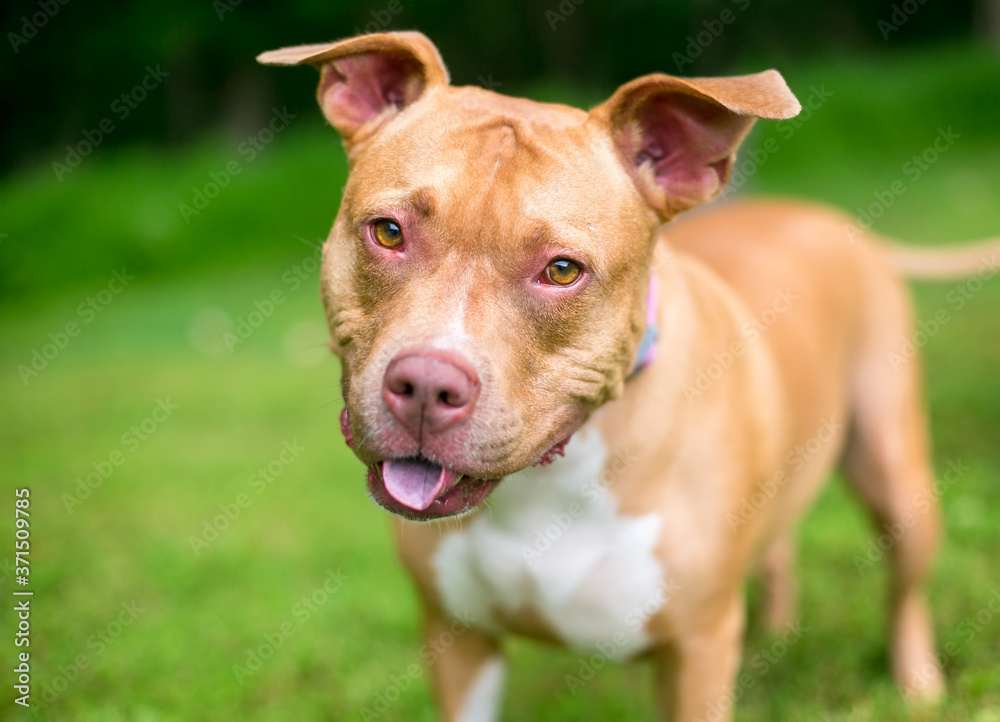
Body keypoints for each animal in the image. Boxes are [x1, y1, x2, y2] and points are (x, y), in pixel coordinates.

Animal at [260, 32, 1000, 720]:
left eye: (562, 270)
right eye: (387, 232)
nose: (424, 386)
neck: (547, 482)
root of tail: (832, 220)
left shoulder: (696, 652)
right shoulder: (458, 638)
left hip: (894, 472)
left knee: (905, 588)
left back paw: (917, 684)